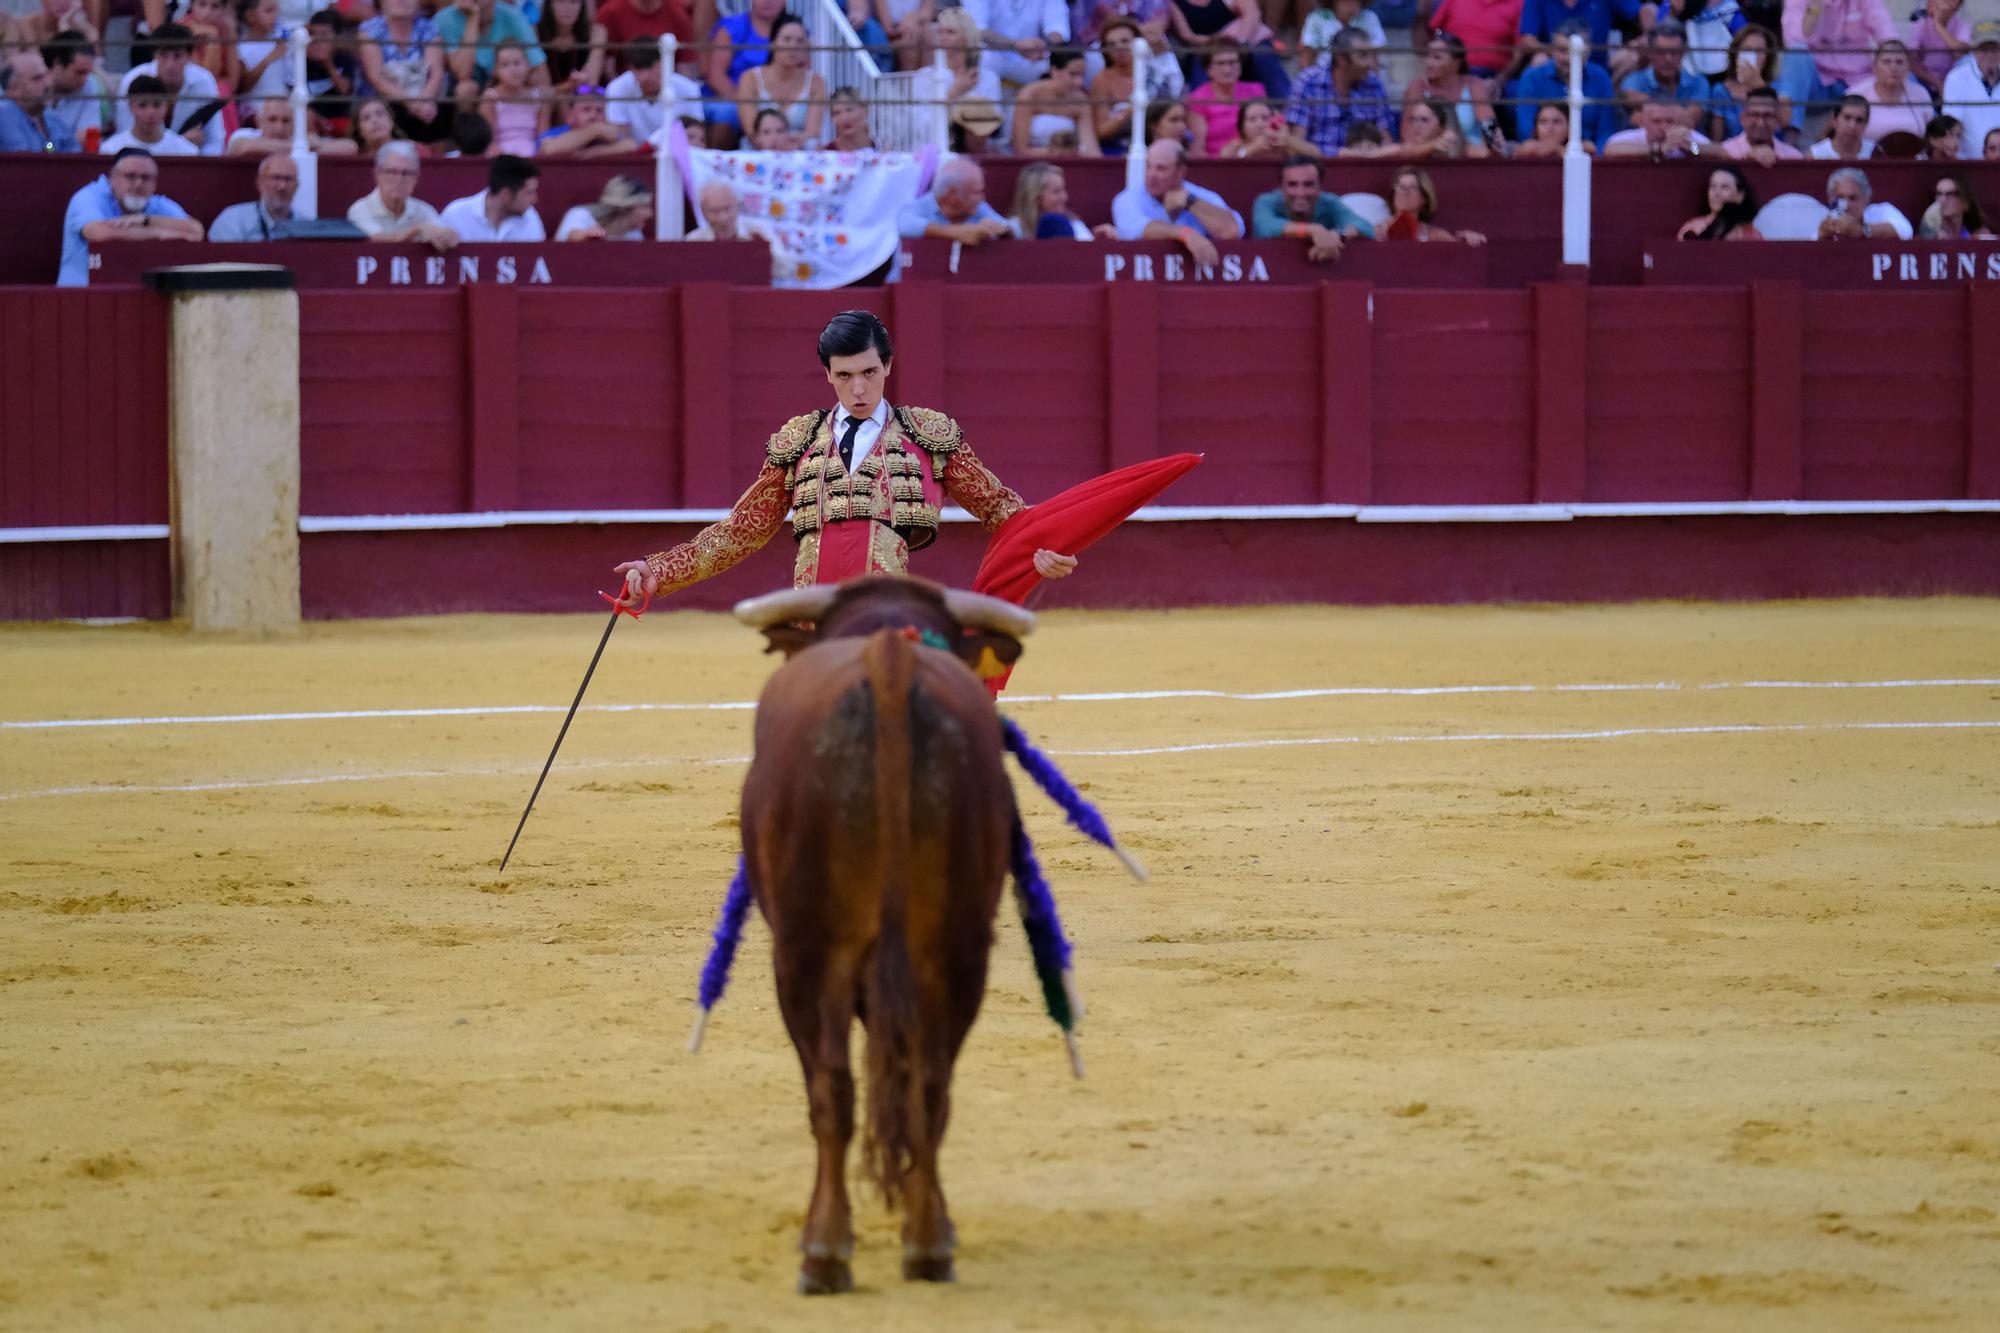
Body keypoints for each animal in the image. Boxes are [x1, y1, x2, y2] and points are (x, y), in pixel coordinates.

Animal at [736, 572, 1048, 1288]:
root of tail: (888, 659)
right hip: (956, 948)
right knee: (929, 1083)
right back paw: (929, 1242)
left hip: (804, 952)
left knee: (831, 1087)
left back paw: (825, 1250)